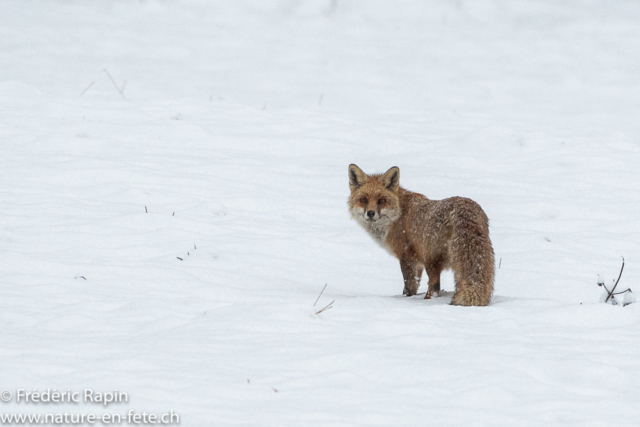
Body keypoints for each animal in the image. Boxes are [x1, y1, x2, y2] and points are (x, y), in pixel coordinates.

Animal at [348, 164, 494, 306]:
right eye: (363, 200)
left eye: (381, 200)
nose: (370, 213)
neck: (398, 214)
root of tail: (466, 213)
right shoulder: (417, 262)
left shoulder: (407, 255)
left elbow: (409, 287)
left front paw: (406, 299)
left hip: (431, 258)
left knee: (434, 287)